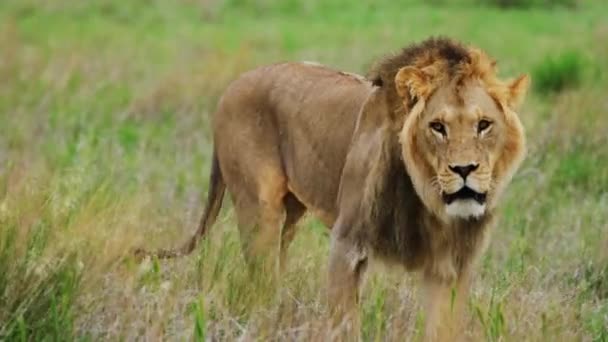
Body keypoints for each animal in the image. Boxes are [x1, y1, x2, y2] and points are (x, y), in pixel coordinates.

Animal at [138, 37, 528, 340]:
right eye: (437, 127)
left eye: (483, 125)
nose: (464, 170)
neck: (429, 204)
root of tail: (234, 84)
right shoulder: (347, 245)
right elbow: (345, 326)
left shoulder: (450, 268)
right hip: (259, 209)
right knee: (259, 283)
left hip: (291, 214)